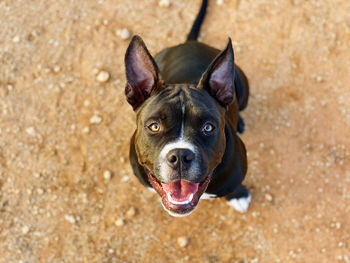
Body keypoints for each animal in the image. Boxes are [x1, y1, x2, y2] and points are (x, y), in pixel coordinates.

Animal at [124, 1, 250, 218]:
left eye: (208, 128)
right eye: (154, 126)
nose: (180, 157)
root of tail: (189, 43)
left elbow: (235, 186)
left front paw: (238, 195)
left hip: (242, 85)